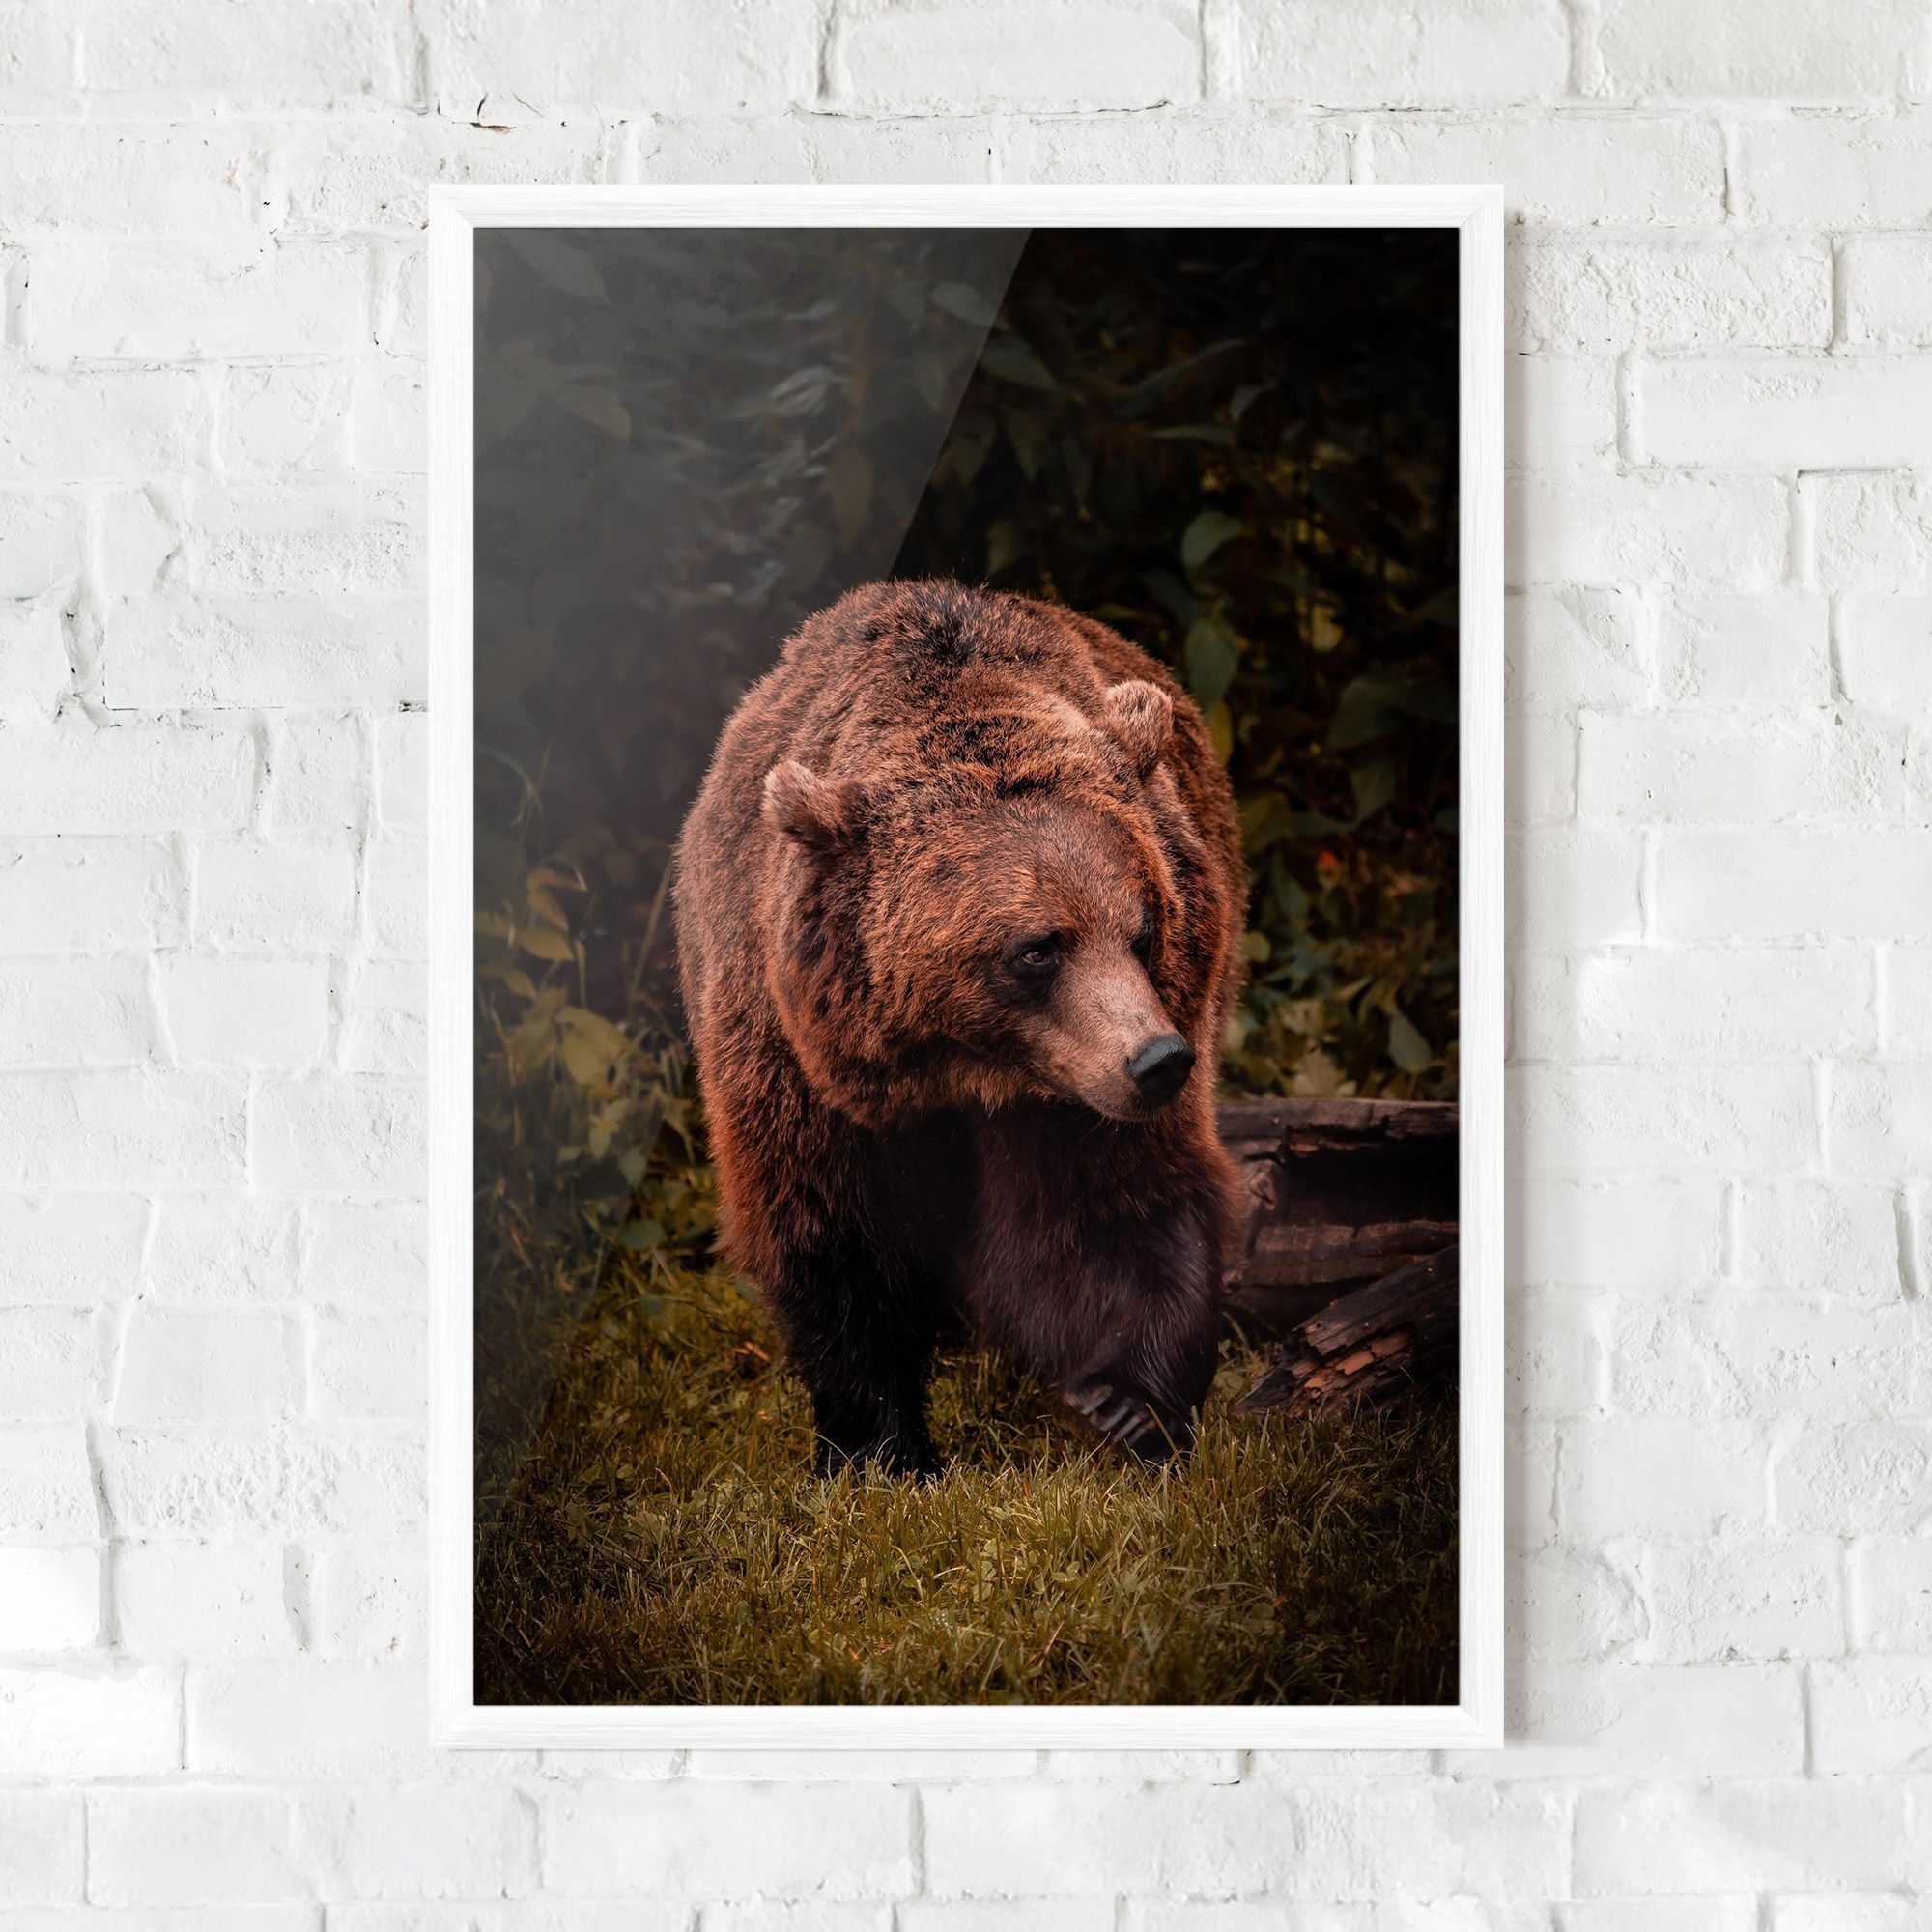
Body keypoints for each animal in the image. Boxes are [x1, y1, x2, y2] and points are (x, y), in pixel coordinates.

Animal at [673, 579, 1247, 1477]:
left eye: (1144, 927)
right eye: (1038, 948)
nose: (1159, 1060)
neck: (963, 1069)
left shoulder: (1077, 1088)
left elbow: (1111, 1208)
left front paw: (1129, 1403)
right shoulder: (794, 1061)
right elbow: (836, 1236)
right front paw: (879, 1447)